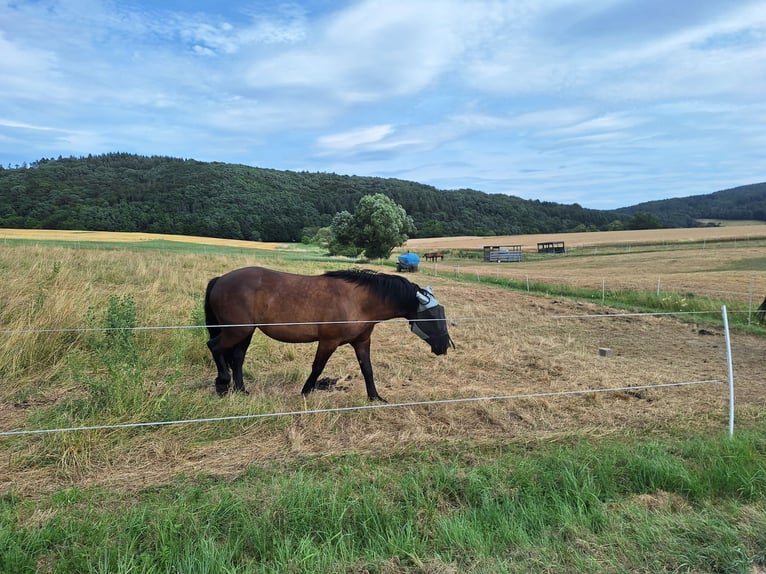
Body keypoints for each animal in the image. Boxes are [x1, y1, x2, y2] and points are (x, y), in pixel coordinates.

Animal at [204, 267, 454, 401]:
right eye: (432, 316)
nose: (444, 346)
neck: (358, 301)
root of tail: (221, 279)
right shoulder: (328, 342)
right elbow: (317, 367)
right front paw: (305, 392)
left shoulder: (362, 342)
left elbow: (367, 369)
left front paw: (374, 397)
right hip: (236, 331)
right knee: (214, 347)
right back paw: (222, 384)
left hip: (245, 332)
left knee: (237, 359)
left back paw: (241, 390)